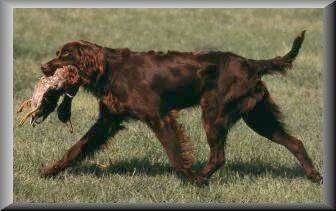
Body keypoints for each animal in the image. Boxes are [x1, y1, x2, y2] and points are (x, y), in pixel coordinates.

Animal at [37, 30, 322, 185]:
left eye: (66, 55)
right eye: (58, 53)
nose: (44, 67)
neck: (110, 70)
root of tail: (252, 64)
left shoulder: (159, 116)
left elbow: (174, 152)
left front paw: (188, 175)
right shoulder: (107, 121)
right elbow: (77, 148)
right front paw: (50, 171)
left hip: (214, 112)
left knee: (219, 156)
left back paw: (199, 178)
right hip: (258, 117)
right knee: (295, 142)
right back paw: (314, 176)